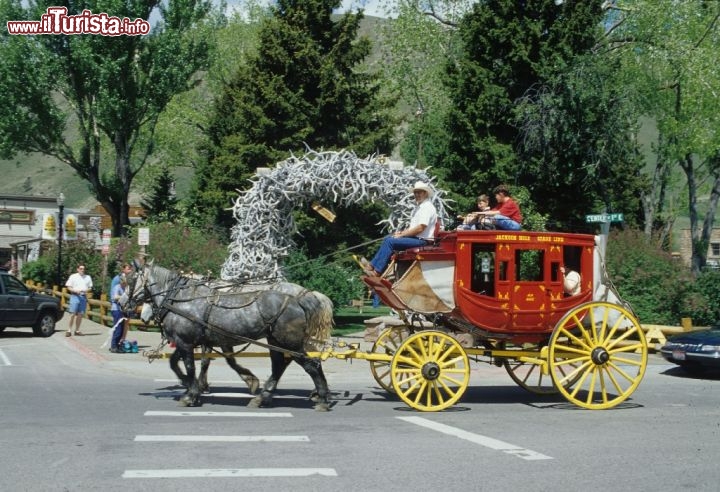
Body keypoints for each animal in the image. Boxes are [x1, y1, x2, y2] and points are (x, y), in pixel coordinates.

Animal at [124, 262, 334, 412]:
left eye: (129, 280)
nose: (122, 303)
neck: (181, 299)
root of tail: (299, 300)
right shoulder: (194, 341)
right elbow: (177, 363)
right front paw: (191, 387)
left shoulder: (186, 342)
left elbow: (192, 366)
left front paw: (191, 393)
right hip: (276, 342)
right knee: (279, 365)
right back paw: (263, 397)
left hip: (290, 343)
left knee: (311, 365)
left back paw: (322, 398)